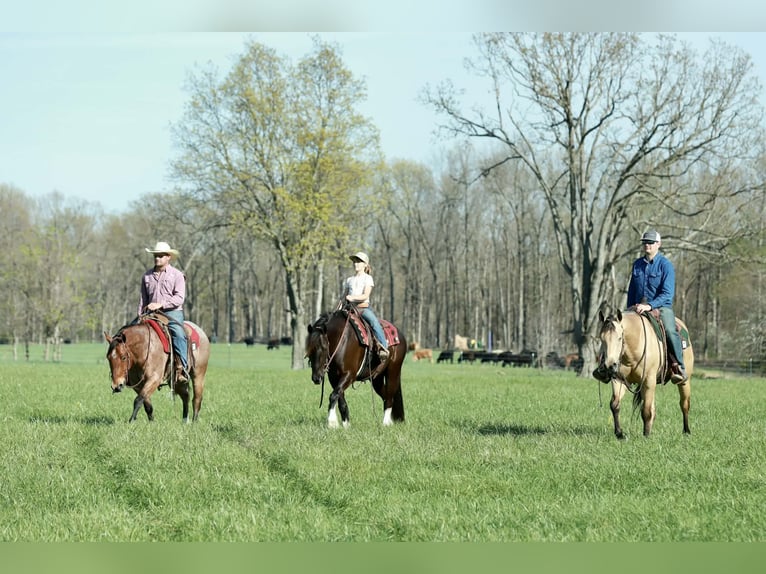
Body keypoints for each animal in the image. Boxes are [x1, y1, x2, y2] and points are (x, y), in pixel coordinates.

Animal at [594, 309, 692, 439]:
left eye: (620, 338)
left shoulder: (648, 380)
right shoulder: (619, 379)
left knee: (684, 405)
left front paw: (645, 435)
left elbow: (646, 410)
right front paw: (619, 433)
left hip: (684, 382)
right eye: (601, 339)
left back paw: (686, 431)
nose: (609, 366)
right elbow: (615, 405)